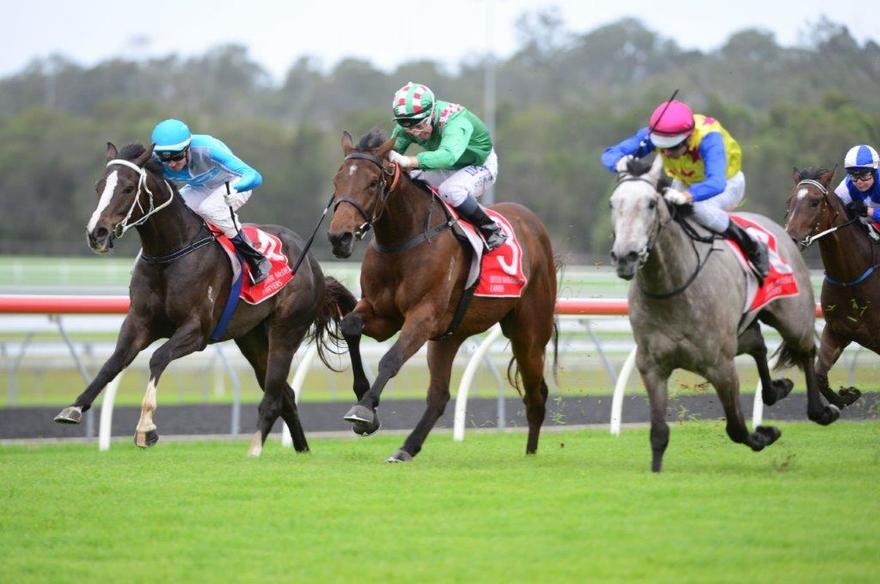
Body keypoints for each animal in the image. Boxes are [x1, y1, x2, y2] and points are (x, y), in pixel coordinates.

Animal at [54, 142, 357, 457]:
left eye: (127, 188)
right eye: (99, 186)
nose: (96, 233)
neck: (169, 253)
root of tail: (312, 263)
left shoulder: (196, 331)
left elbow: (158, 358)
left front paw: (146, 428)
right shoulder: (138, 323)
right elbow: (112, 363)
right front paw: (74, 408)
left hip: (286, 330)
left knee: (275, 394)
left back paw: (256, 450)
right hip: (252, 338)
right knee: (285, 393)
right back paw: (301, 450)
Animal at [326, 130, 558, 462]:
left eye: (372, 182)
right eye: (337, 180)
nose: (339, 237)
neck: (403, 240)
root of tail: (533, 224)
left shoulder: (423, 316)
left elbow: (391, 359)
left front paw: (364, 410)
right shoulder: (381, 314)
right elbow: (350, 327)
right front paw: (362, 394)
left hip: (529, 332)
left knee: (535, 392)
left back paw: (530, 455)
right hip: (449, 337)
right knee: (439, 396)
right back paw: (406, 448)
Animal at [609, 156, 839, 472]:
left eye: (651, 204)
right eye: (613, 203)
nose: (625, 256)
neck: (672, 288)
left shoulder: (720, 366)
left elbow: (736, 427)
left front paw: (766, 434)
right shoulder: (651, 366)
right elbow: (658, 433)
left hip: (793, 318)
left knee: (805, 350)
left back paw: (820, 411)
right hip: (740, 329)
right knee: (758, 345)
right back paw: (777, 389)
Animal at [783, 167, 868, 409]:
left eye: (814, 202)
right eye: (789, 201)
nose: (790, 239)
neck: (850, 278)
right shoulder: (837, 330)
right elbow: (820, 375)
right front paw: (848, 395)